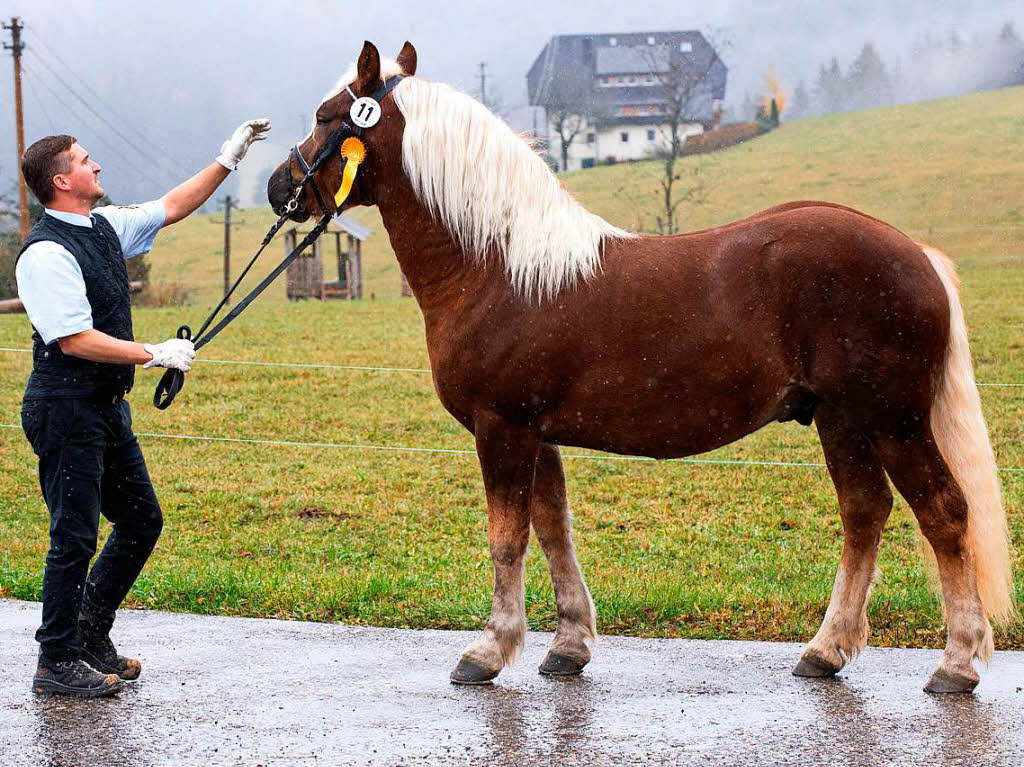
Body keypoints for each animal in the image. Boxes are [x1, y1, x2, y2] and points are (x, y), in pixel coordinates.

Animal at [268, 38, 1011, 692]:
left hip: (893, 420)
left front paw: (489, 649)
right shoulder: (536, 434)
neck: (498, 266)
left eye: (326, 115)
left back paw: (957, 661)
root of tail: (917, 255)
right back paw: (825, 650)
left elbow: (508, 538)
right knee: (864, 513)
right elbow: (553, 530)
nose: (280, 188)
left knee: (944, 513)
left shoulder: (501, 428)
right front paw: (568, 645)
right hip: (842, 419)